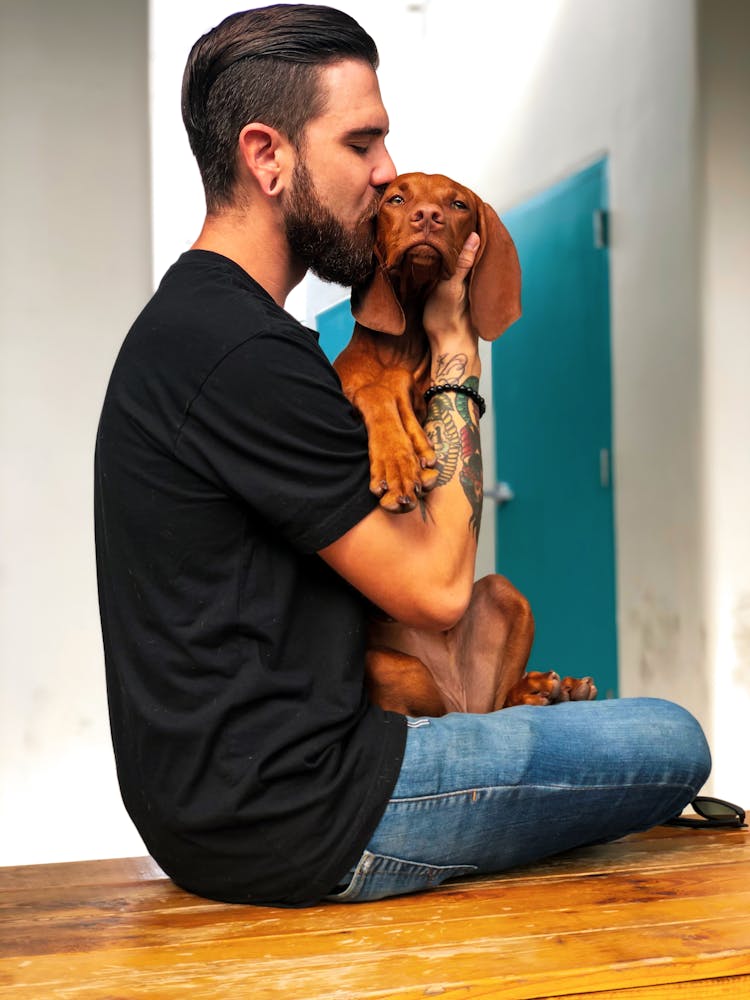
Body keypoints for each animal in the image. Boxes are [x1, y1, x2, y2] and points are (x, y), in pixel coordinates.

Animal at [332, 174, 596, 720]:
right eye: (397, 197)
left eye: (456, 204)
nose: (428, 217)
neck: (405, 340)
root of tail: (457, 695)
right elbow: (374, 389)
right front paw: (399, 459)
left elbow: (402, 389)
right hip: (388, 668)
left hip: (504, 593)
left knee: (497, 705)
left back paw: (546, 689)